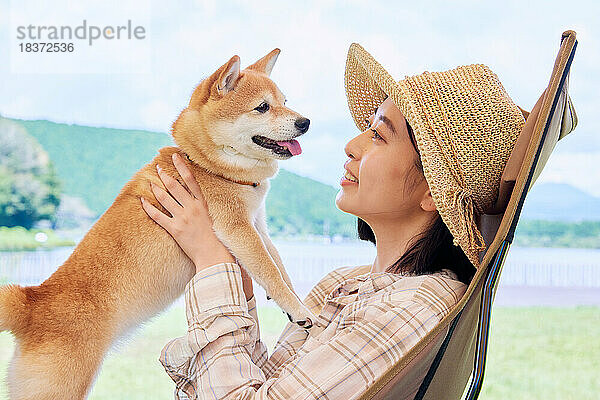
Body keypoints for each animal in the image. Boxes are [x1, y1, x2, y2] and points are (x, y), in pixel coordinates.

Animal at [0, 49, 318, 400]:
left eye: (285, 101)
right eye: (262, 107)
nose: (305, 122)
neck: (204, 164)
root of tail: (32, 302)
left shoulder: (258, 227)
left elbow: (279, 267)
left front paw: (296, 305)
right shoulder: (238, 229)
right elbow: (272, 272)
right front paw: (300, 310)